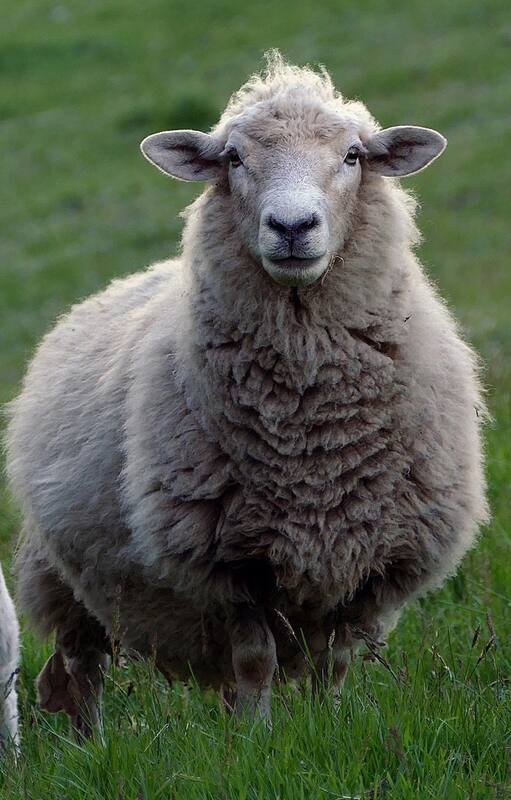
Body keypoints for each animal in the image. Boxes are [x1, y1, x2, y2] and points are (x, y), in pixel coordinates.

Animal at [5, 53, 488, 729]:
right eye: (234, 158)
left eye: (353, 156)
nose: (292, 226)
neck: (311, 430)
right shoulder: (229, 562)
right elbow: (256, 659)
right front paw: (258, 736)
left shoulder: (372, 561)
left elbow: (335, 663)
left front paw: (327, 724)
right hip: (65, 575)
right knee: (82, 668)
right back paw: (92, 739)